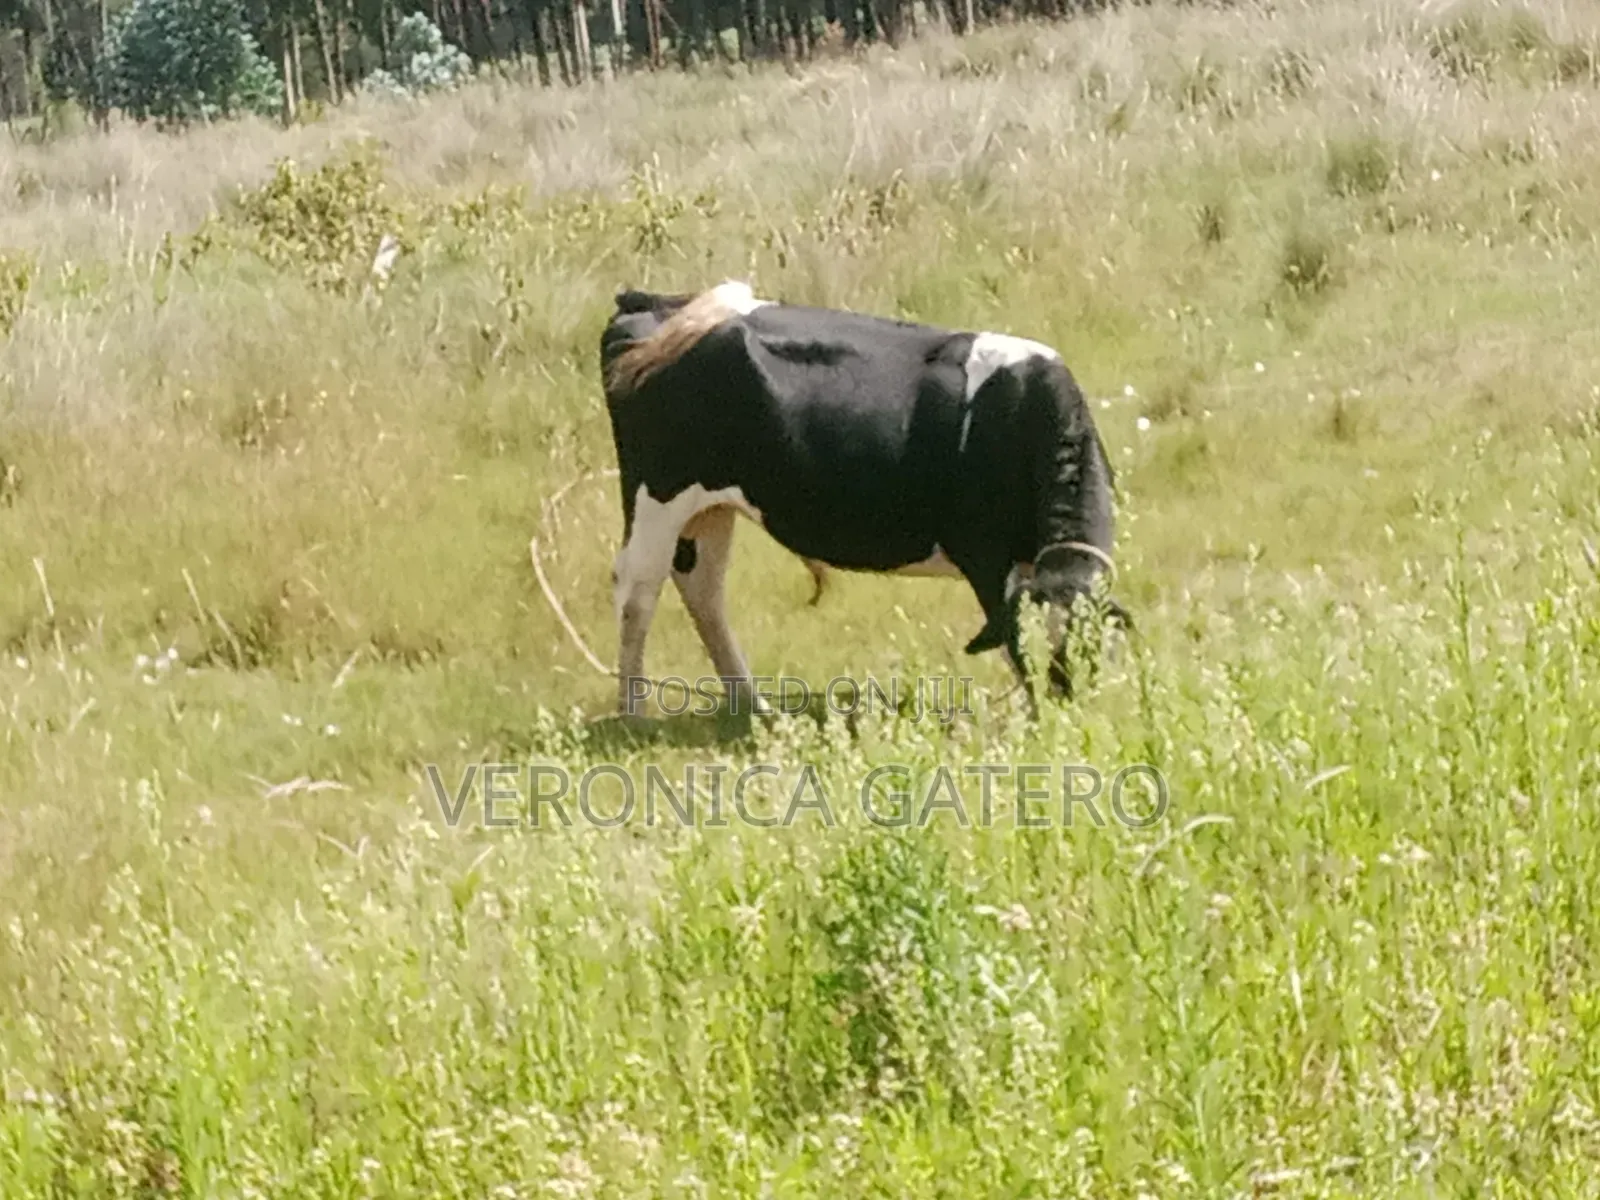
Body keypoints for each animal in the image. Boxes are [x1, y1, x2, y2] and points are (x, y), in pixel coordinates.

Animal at [598, 281, 1126, 717]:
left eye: (1090, 643)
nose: (1068, 703)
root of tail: (654, 303)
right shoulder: (985, 556)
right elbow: (1009, 638)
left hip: (709, 507)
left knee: (702, 588)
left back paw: (750, 703)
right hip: (657, 496)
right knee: (637, 592)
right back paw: (634, 713)